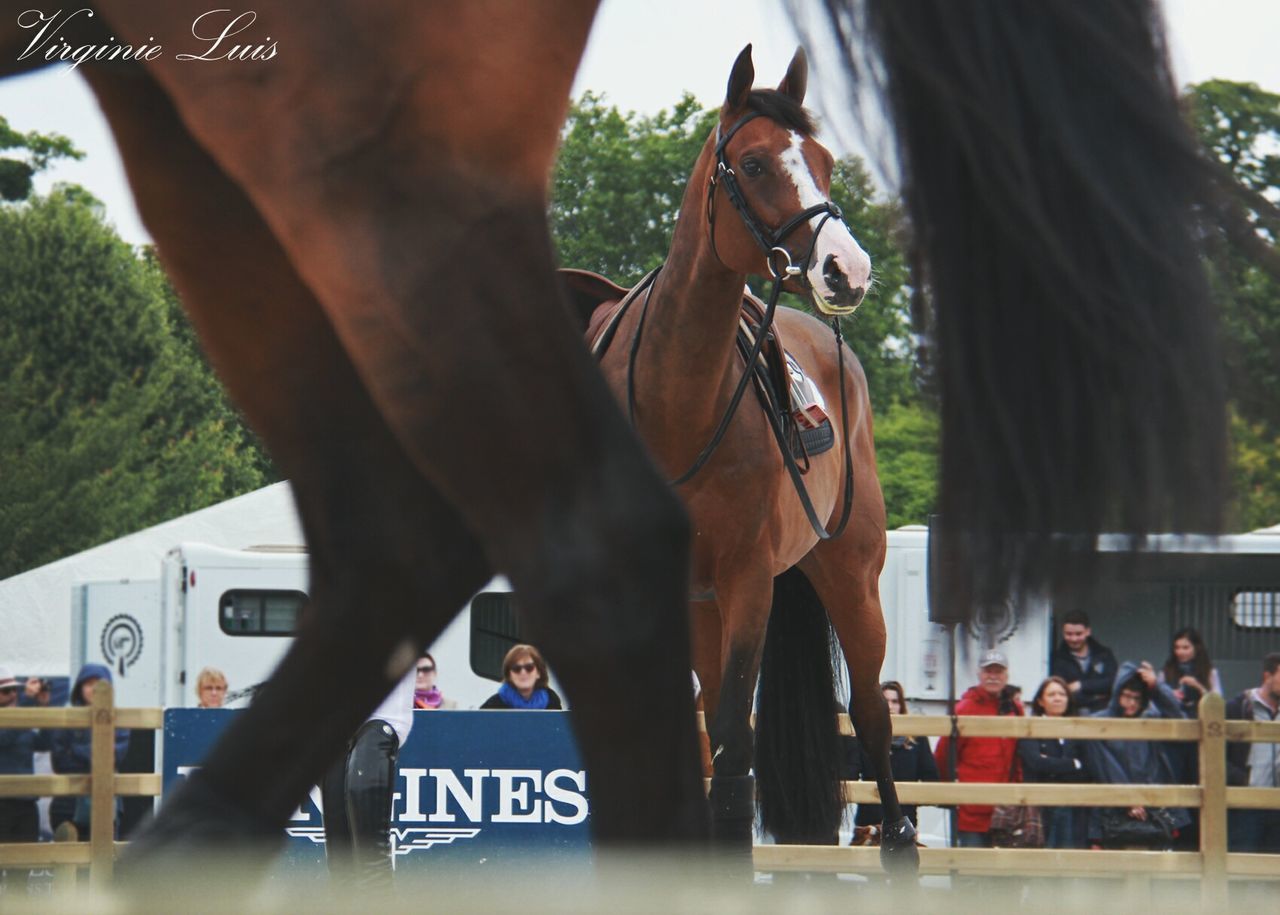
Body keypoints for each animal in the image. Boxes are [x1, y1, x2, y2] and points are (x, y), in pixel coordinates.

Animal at [0, 0, 1218, 880]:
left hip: (848, 577)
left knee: (872, 721)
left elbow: (733, 751)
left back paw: (902, 853)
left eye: (824, 164)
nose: (845, 268)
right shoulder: (678, 596)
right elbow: (695, 743)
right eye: (757, 163)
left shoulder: (742, 584)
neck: (682, 392)